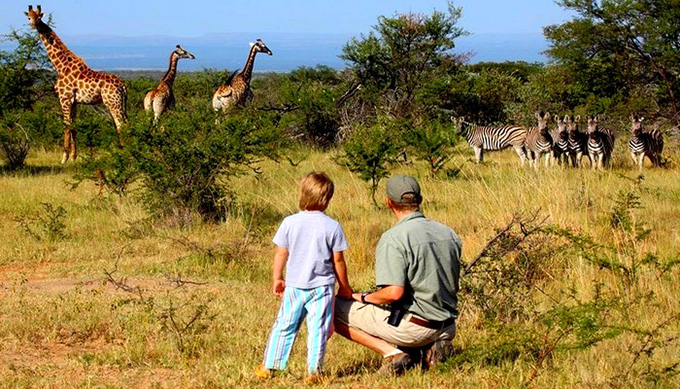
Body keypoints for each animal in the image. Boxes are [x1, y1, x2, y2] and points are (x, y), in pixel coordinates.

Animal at [23, 5, 127, 162]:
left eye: (39, 17)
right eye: (29, 17)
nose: (33, 25)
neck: (60, 65)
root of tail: (122, 86)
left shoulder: (64, 98)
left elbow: (66, 125)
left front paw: (64, 158)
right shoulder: (74, 102)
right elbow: (74, 127)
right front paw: (73, 157)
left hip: (112, 103)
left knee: (121, 125)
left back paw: (124, 153)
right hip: (119, 103)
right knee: (125, 123)